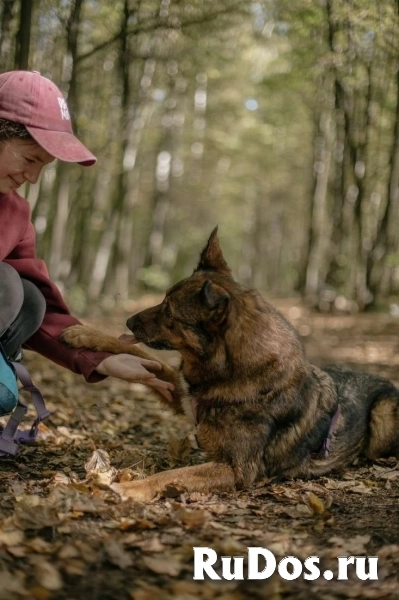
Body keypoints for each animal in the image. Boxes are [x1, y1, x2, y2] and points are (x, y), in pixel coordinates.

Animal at [61, 226, 399, 502]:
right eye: (162, 299)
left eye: (169, 312)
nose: (128, 322)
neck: (235, 374)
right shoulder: (181, 394)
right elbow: (146, 358)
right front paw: (84, 334)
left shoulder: (237, 469)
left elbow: (171, 475)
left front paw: (130, 487)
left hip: (383, 416)